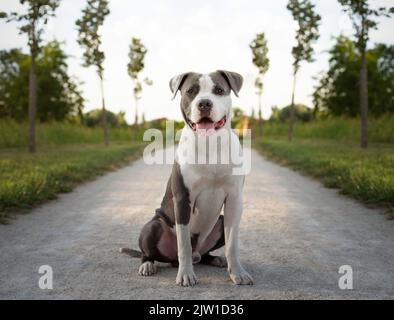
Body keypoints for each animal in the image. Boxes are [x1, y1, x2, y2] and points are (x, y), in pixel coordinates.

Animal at [120, 71, 254, 286]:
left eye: (219, 90)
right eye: (191, 91)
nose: (204, 103)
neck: (209, 144)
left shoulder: (234, 199)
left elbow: (232, 243)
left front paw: (237, 273)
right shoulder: (183, 199)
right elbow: (184, 245)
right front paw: (185, 275)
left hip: (219, 222)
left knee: (203, 252)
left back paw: (214, 259)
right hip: (153, 226)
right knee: (151, 252)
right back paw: (148, 265)